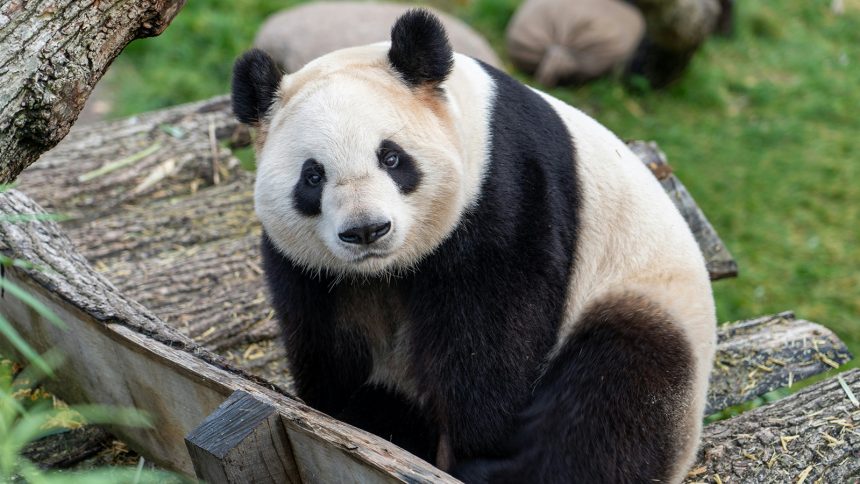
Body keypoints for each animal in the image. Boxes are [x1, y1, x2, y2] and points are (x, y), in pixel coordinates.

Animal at [232, 9, 716, 484]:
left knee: (614, 393)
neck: (385, 270)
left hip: (643, 297)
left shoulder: (505, 189)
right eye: (313, 176)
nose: (367, 230)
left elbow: (492, 333)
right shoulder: (310, 268)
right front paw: (345, 415)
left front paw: (472, 443)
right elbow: (325, 337)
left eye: (391, 157)